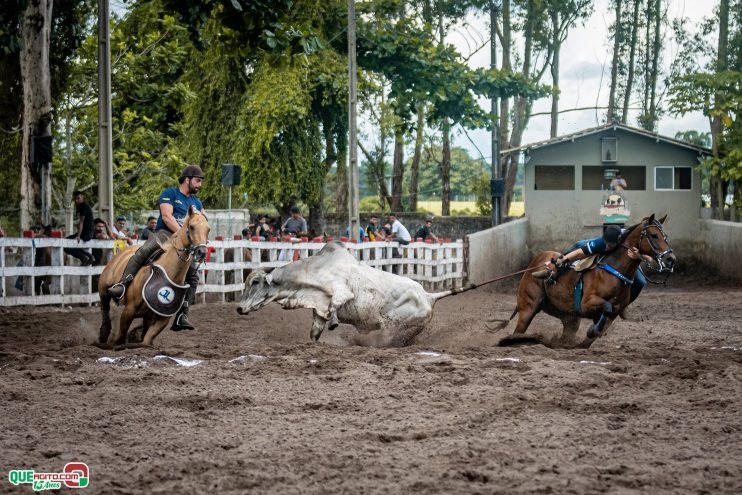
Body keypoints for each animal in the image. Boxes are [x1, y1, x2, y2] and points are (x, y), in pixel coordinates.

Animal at [96, 206, 209, 348]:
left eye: (208, 229)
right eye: (192, 226)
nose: (202, 252)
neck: (168, 271)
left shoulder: (162, 319)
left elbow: (146, 341)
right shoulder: (129, 310)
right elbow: (120, 339)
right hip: (103, 289)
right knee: (104, 308)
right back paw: (103, 333)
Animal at [237, 242, 464, 346]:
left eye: (255, 282)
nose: (239, 308)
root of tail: (429, 296)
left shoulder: (342, 292)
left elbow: (335, 304)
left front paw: (335, 322)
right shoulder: (318, 311)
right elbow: (315, 331)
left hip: (393, 322)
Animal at [502, 215, 676, 350]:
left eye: (665, 236)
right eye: (653, 235)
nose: (670, 258)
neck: (612, 271)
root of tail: (535, 261)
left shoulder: (614, 313)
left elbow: (601, 324)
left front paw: (592, 332)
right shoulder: (587, 303)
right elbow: (606, 307)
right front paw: (593, 330)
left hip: (567, 316)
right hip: (528, 308)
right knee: (518, 330)